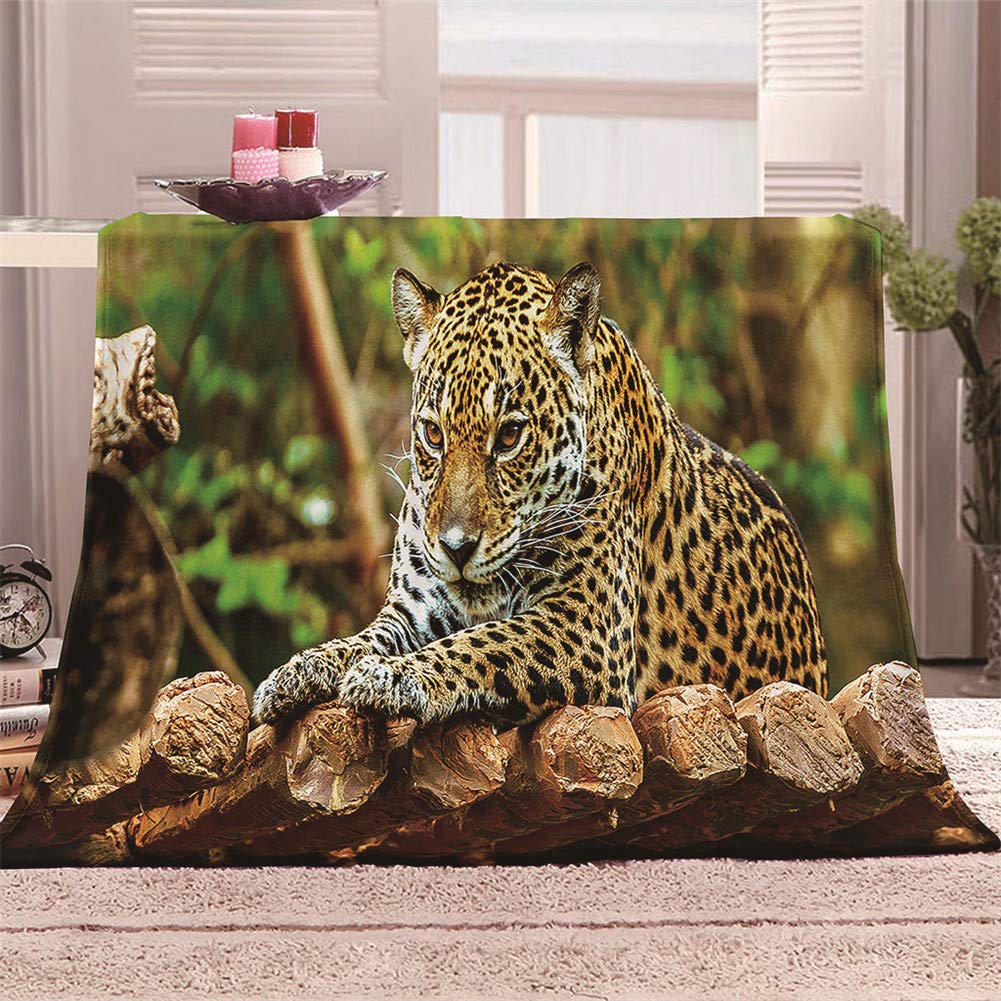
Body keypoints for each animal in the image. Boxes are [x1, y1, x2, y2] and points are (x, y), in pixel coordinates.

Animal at [253, 261, 827, 727]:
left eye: (509, 436)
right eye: (433, 434)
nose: (457, 549)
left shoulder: (586, 624)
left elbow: (480, 645)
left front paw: (391, 677)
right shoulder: (414, 610)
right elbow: (361, 640)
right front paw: (298, 671)